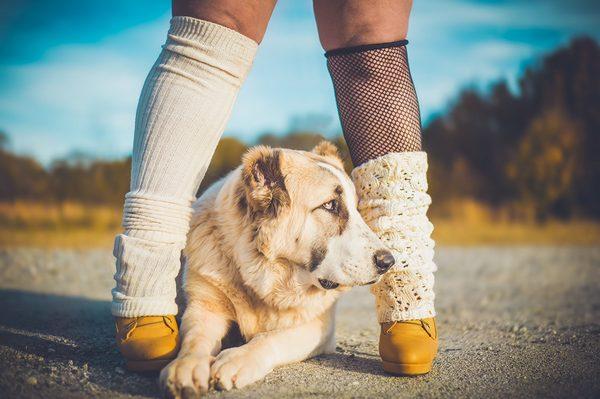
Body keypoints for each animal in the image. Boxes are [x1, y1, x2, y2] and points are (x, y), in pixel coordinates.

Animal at [159, 142, 394, 398]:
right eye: (330, 205)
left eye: (356, 208)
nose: (389, 261)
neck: (266, 272)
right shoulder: (204, 308)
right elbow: (195, 338)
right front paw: (187, 364)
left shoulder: (318, 327)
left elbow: (270, 338)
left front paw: (238, 358)